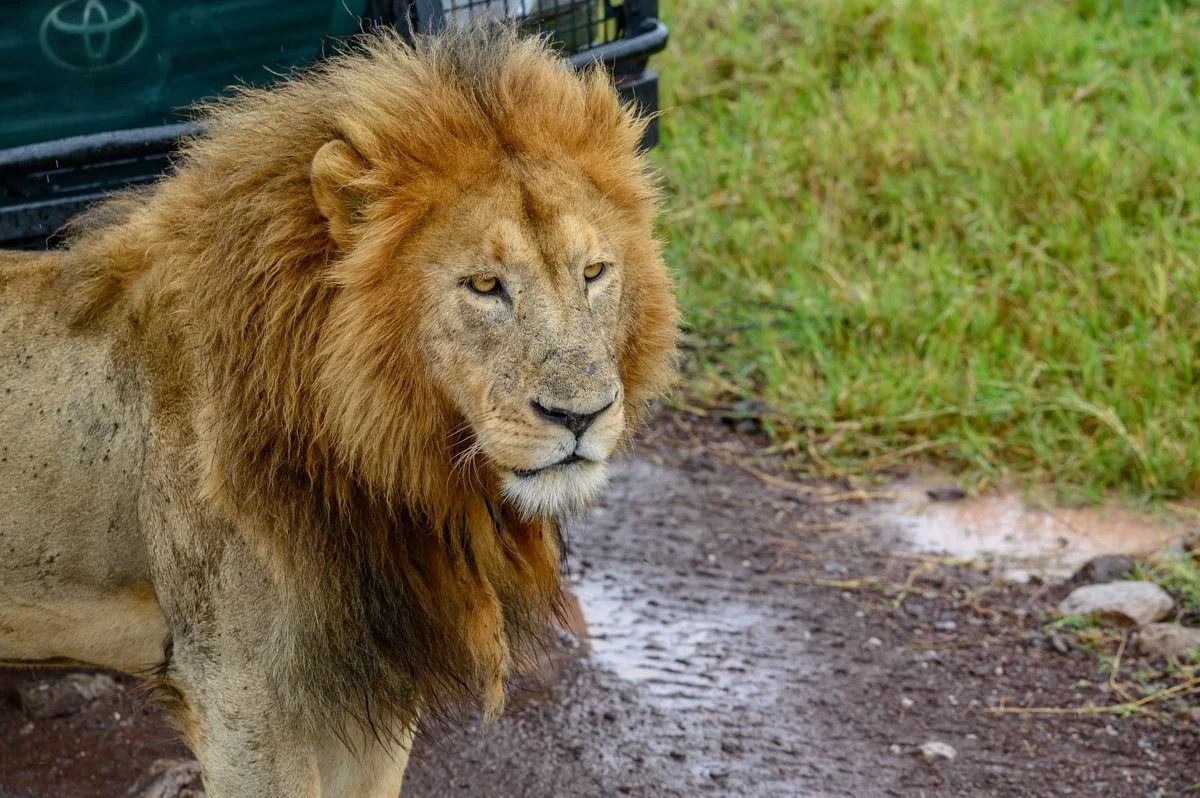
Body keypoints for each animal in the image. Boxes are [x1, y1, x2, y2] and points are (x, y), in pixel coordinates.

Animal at [0, 21, 677, 796]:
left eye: (593, 272)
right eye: (484, 286)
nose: (581, 416)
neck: (373, 456)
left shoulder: (373, 678)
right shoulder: (239, 694)